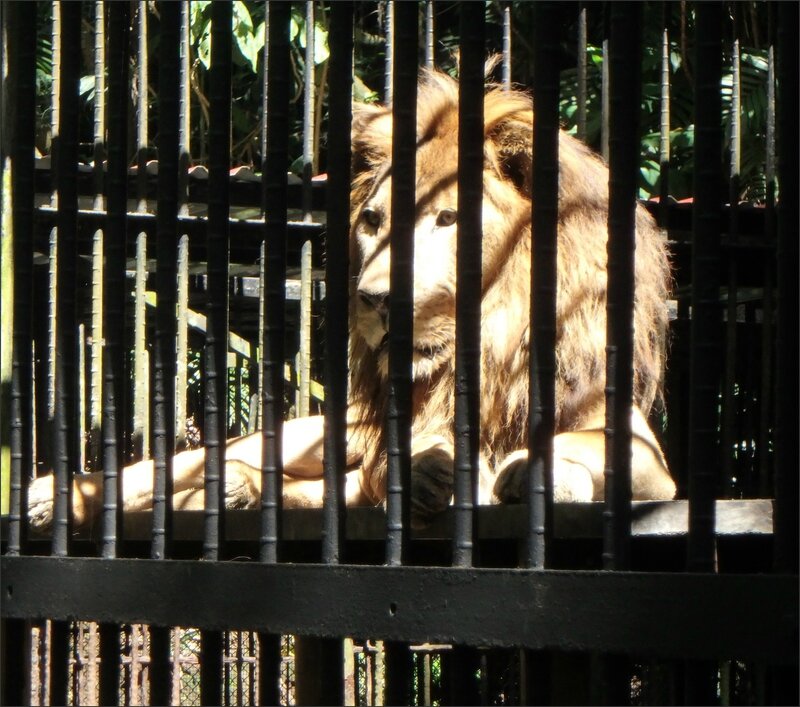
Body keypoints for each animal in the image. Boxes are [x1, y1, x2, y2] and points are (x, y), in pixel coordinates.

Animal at [26, 73, 676, 536]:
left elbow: (600, 452)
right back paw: (53, 498)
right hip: (297, 435)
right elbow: (405, 458)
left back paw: (235, 490)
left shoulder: (644, 451)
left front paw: (532, 471)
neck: (496, 337)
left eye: (448, 219)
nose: (375, 299)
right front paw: (435, 465)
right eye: (372, 222)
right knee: (162, 471)